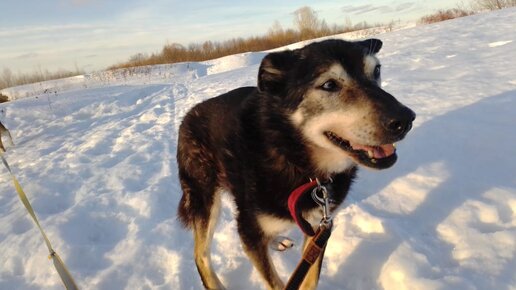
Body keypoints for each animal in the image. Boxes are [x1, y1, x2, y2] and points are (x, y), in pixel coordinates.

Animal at [177, 39, 416, 290]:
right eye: (329, 84)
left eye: (376, 70)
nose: (405, 120)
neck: (295, 159)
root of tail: (188, 116)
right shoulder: (250, 227)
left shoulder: (319, 227)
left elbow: (309, 279)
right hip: (206, 199)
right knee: (200, 254)